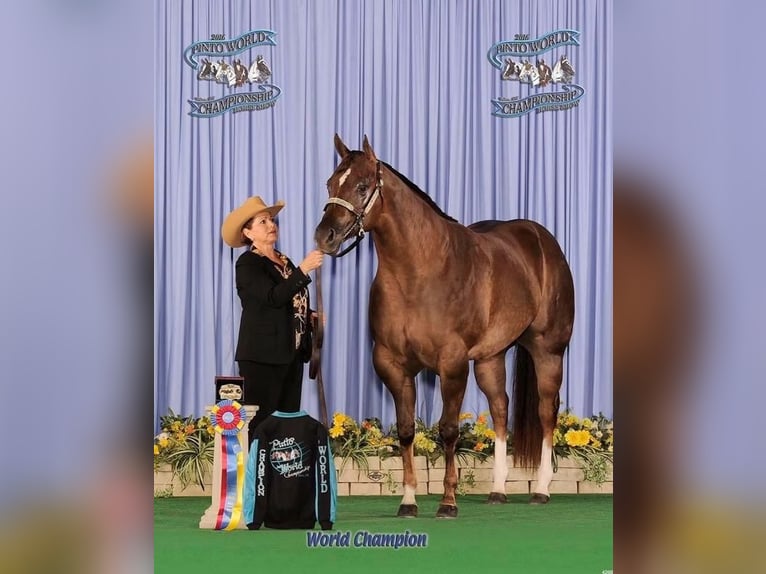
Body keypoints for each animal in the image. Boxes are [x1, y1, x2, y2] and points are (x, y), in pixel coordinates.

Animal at [314, 135, 575, 518]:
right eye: (331, 184)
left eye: (362, 186)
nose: (325, 237)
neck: (418, 275)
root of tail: (541, 240)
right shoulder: (392, 365)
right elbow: (406, 430)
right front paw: (408, 501)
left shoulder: (451, 364)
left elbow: (448, 430)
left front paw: (448, 502)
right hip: (490, 358)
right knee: (500, 409)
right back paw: (498, 490)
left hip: (548, 349)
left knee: (546, 410)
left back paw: (541, 489)